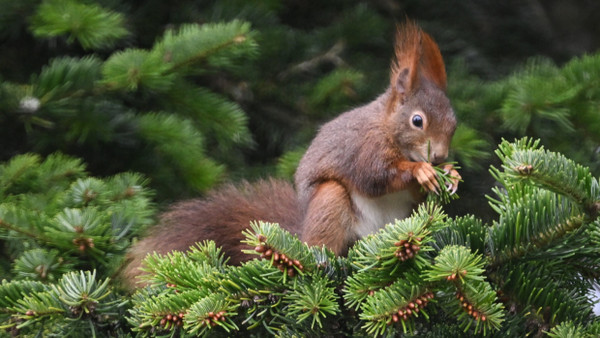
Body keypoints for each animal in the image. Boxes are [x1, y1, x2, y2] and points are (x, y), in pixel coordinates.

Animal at [120, 19, 460, 286]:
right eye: (417, 121)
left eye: (454, 123)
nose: (439, 156)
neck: (387, 128)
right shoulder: (363, 148)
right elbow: (374, 177)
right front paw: (422, 171)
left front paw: (450, 174)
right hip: (330, 203)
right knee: (325, 241)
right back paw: (323, 262)